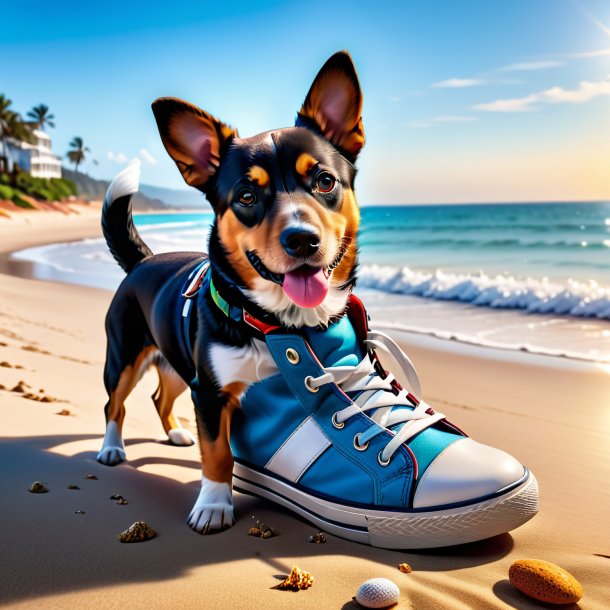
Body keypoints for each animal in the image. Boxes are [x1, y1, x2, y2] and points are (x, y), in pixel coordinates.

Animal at [97, 50, 364, 528]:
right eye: (245, 196)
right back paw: (112, 448)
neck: (278, 323)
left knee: (160, 397)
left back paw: (177, 434)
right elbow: (218, 452)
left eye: (325, 181)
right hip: (124, 356)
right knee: (115, 405)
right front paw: (213, 506)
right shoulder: (212, 391)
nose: (302, 239)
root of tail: (143, 261)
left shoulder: (205, 383)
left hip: (178, 363)